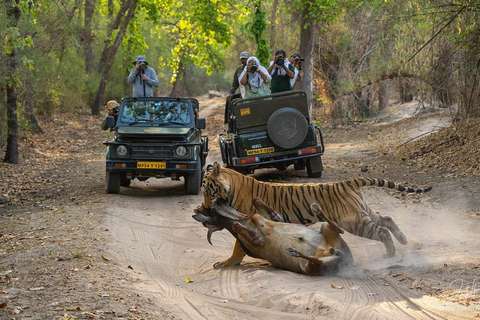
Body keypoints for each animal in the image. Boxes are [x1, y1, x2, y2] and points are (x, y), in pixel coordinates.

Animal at [201, 161, 434, 266]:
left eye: (207, 191)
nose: (203, 207)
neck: (230, 185)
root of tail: (348, 181)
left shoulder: (246, 219)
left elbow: (238, 246)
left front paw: (226, 263)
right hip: (363, 212)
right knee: (387, 219)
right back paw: (403, 240)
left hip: (354, 221)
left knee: (382, 231)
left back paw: (390, 255)